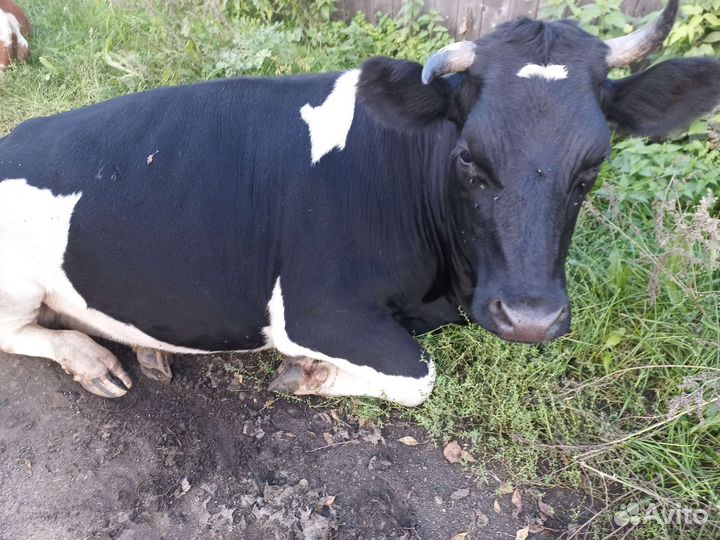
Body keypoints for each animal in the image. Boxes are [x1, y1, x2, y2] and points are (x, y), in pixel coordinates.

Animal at [0, 1, 718, 405]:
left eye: (593, 166)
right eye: (468, 158)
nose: (531, 318)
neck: (442, 286)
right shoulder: (314, 309)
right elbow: (419, 378)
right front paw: (306, 375)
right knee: (18, 333)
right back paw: (91, 358)